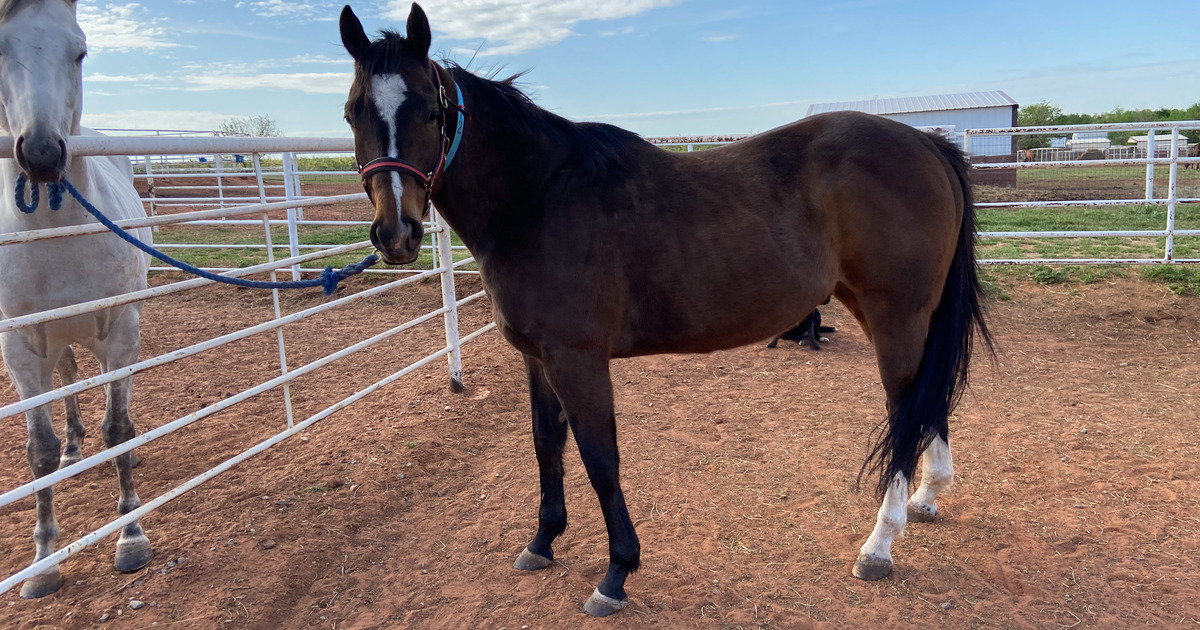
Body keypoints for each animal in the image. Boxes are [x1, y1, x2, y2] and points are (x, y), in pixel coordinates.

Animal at [0, 0, 153, 598]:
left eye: (80, 50)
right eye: (0, 47)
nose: (42, 153)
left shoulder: (121, 332)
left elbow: (119, 429)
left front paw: (130, 535)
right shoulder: (19, 349)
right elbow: (36, 452)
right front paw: (44, 560)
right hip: (53, 341)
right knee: (65, 379)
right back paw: (71, 445)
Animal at [340, 3, 992, 616]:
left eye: (430, 112)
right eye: (352, 113)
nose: (396, 235)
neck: (539, 197)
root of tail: (927, 144)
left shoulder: (577, 359)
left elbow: (600, 458)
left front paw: (616, 574)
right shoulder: (537, 357)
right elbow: (546, 443)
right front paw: (543, 541)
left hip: (896, 314)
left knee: (905, 411)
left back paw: (878, 546)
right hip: (888, 312)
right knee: (925, 402)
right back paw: (928, 497)